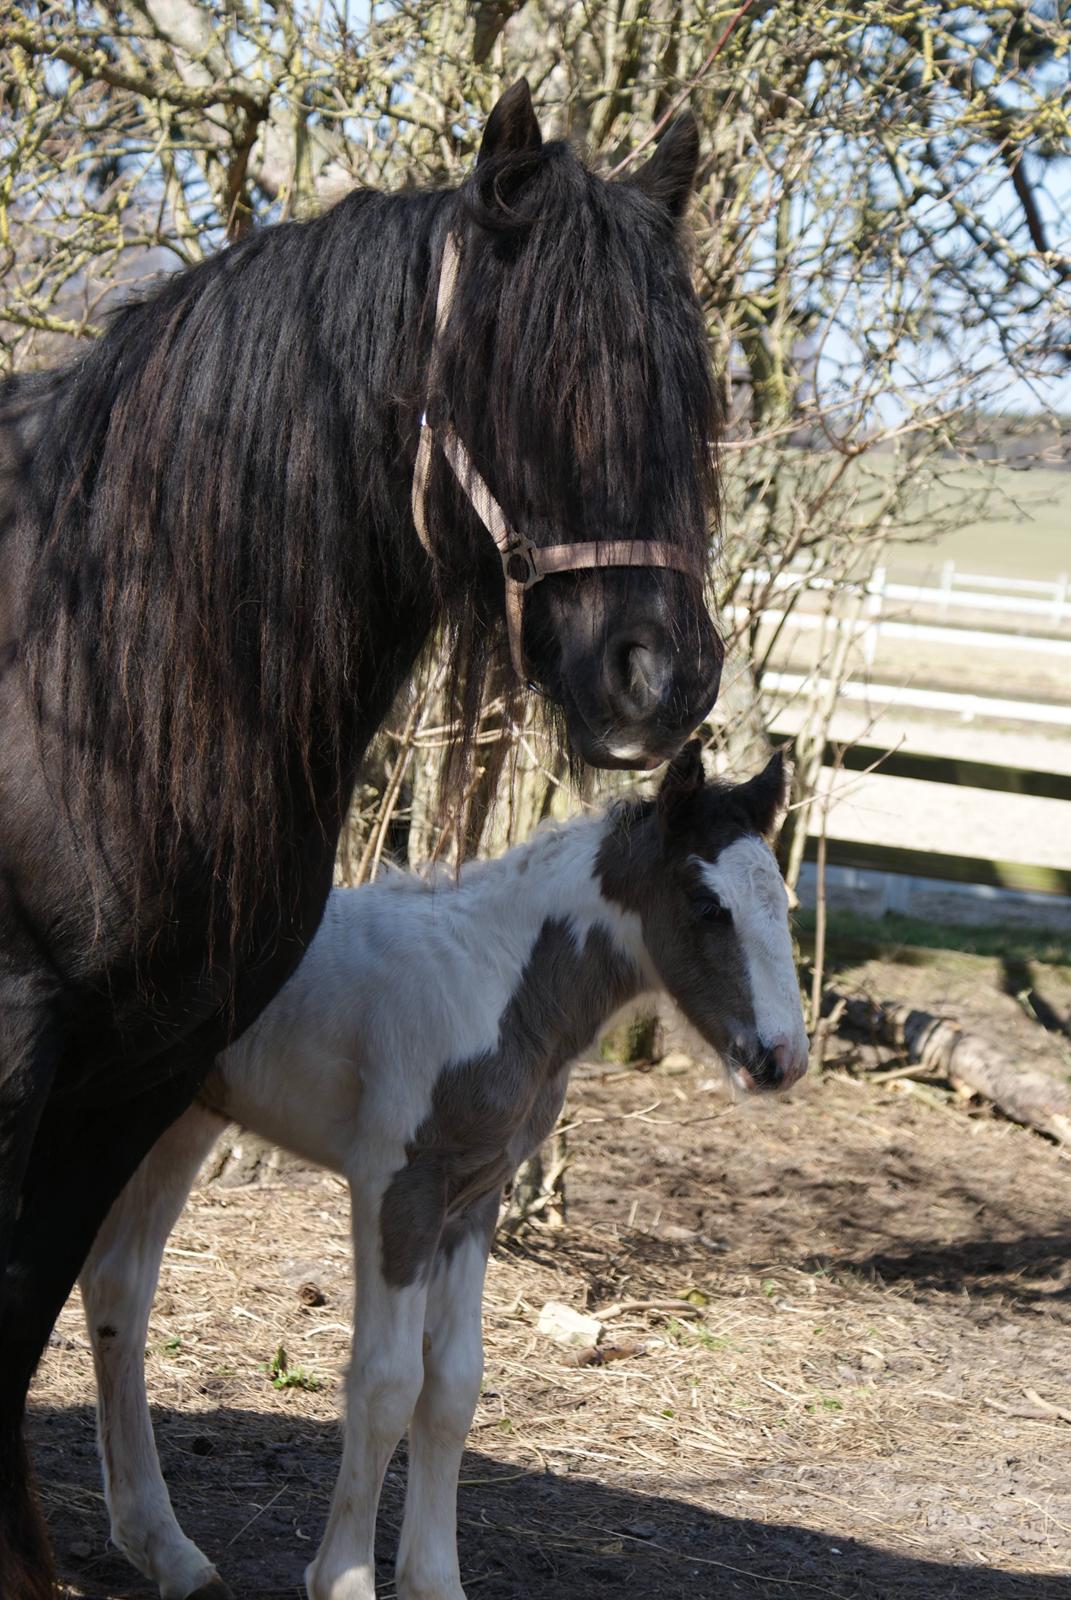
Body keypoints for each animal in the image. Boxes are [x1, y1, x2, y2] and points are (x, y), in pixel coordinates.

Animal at [0, 81, 723, 1593]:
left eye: (695, 401)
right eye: (537, 376)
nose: (663, 678)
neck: (78, 649)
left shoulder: (142, 1061)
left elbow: (28, 1294)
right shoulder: (21, 1035)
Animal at [81, 745, 800, 1600]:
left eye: (782, 904)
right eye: (706, 905)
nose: (781, 1057)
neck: (495, 983)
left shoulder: (474, 1197)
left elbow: (453, 1383)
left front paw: (431, 1580)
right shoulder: (398, 1186)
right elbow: (386, 1383)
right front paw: (343, 1580)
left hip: (179, 1121)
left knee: (118, 1289)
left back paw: (168, 1551)